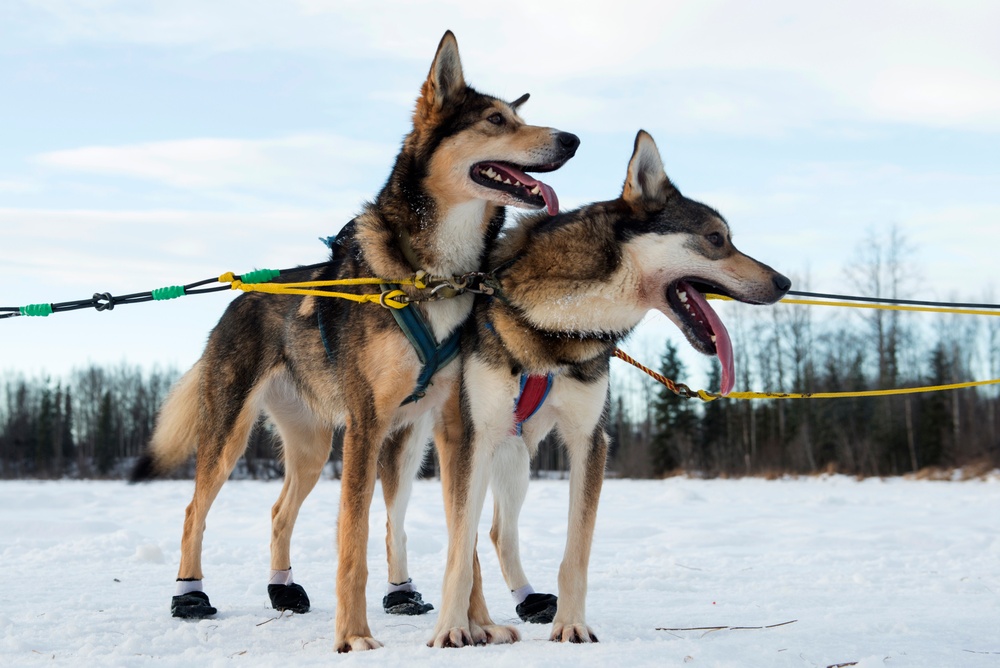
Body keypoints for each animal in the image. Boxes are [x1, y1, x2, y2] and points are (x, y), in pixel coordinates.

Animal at [130, 31, 580, 652]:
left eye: (518, 116)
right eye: (495, 120)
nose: (573, 139)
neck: (433, 276)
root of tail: (241, 293)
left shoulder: (454, 428)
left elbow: (461, 535)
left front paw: (479, 624)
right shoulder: (367, 424)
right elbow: (354, 538)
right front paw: (354, 635)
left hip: (319, 445)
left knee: (279, 511)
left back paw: (284, 591)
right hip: (231, 436)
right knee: (194, 507)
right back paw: (190, 595)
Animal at [430, 130, 788, 648]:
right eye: (716, 239)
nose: (784, 282)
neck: (560, 321)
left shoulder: (589, 440)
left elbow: (576, 552)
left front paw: (571, 624)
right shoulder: (478, 437)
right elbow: (460, 549)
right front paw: (452, 627)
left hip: (517, 456)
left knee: (497, 531)